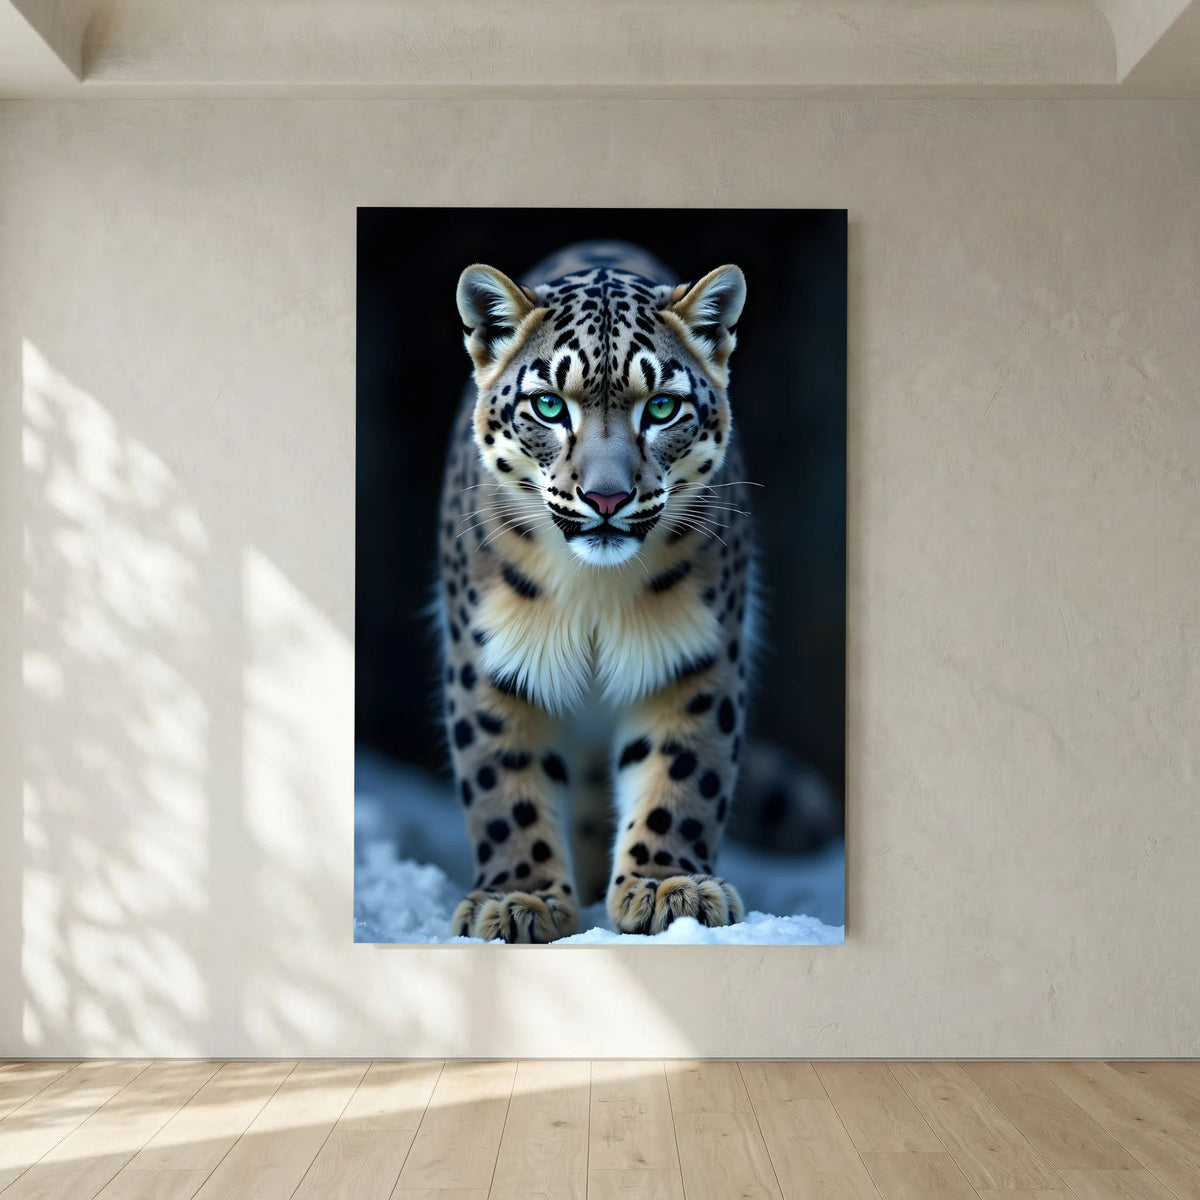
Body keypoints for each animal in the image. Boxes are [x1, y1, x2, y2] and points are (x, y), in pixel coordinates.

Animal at [436, 240, 757, 943]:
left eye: (661, 407)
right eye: (549, 405)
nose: (606, 498)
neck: (593, 592)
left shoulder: (694, 656)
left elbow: (682, 772)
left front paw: (669, 887)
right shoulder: (489, 661)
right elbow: (504, 784)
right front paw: (519, 899)